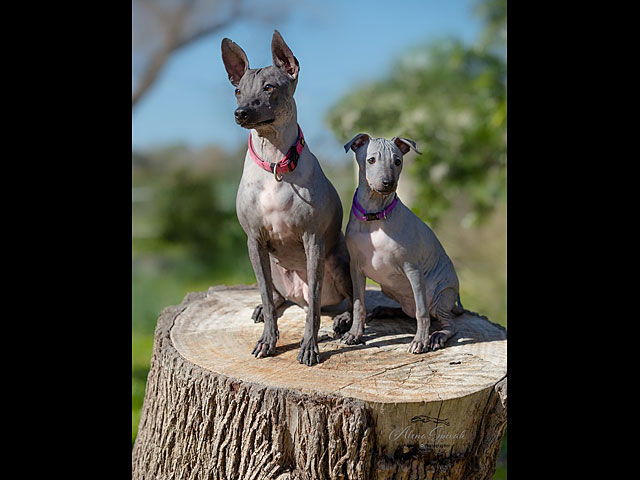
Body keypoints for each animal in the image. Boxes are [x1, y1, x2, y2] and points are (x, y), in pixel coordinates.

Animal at [219, 30, 350, 366]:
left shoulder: (313, 241)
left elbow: (314, 308)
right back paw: (265, 309)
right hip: (275, 269)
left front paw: (309, 347)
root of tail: (296, 294)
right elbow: (265, 294)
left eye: (269, 87)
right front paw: (268, 340)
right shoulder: (254, 242)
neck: (275, 163)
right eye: (237, 91)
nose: (241, 112)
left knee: (344, 300)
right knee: (278, 298)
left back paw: (343, 319)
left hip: (338, 261)